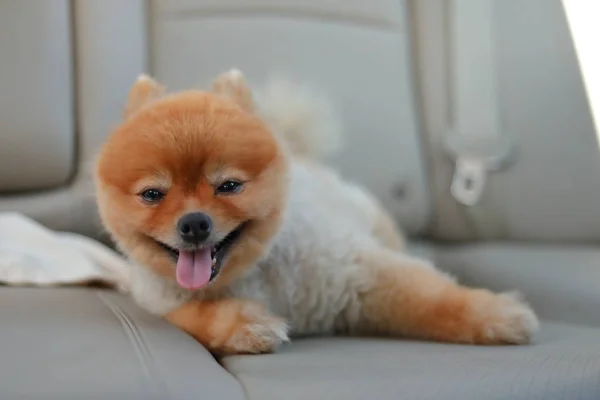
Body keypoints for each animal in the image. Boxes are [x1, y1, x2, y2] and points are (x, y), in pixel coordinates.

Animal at [95, 69, 540, 356]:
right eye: (153, 194)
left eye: (229, 186)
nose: (194, 223)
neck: (251, 273)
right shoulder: (162, 303)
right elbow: (197, 315)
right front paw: (245, 325)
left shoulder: (358, 274)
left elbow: (434, 298)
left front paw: (497, 314)